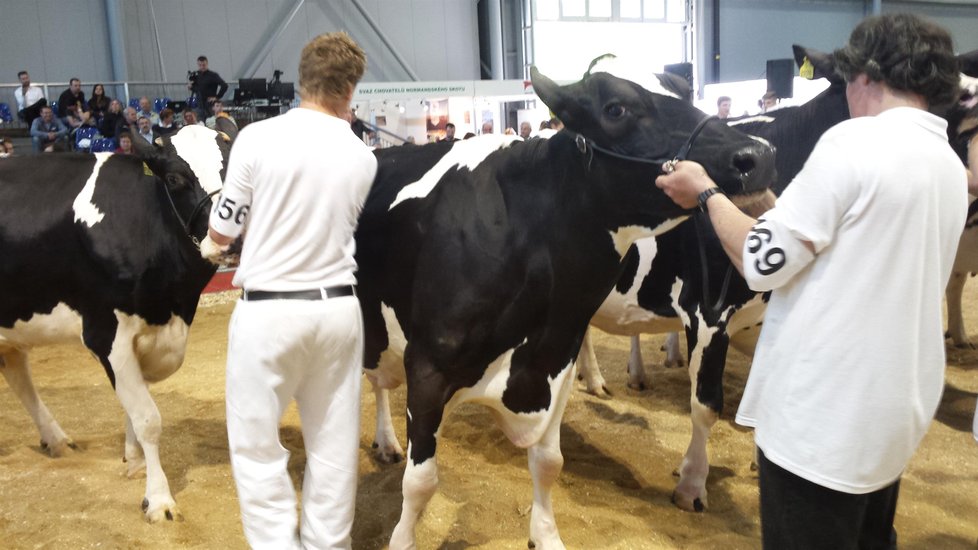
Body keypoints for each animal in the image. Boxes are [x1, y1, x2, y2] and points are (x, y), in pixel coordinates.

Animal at [0, 126, 231, 528]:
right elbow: (148, 417)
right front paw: (159, 499)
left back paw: (56, 439)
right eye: (175, 178)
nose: (229, 235)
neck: (173, 304)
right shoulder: (106, 331)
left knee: (17, 372)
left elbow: (133, 402)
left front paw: (134, 461)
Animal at [354, 58, 772, 548]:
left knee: (379, 380)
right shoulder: (428, 366)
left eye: (685, 93)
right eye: (616, 108)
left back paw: (385, 441)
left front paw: (546, 534)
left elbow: (549, 462)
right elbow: (421, 482)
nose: (758, 155)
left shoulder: (559, 362)